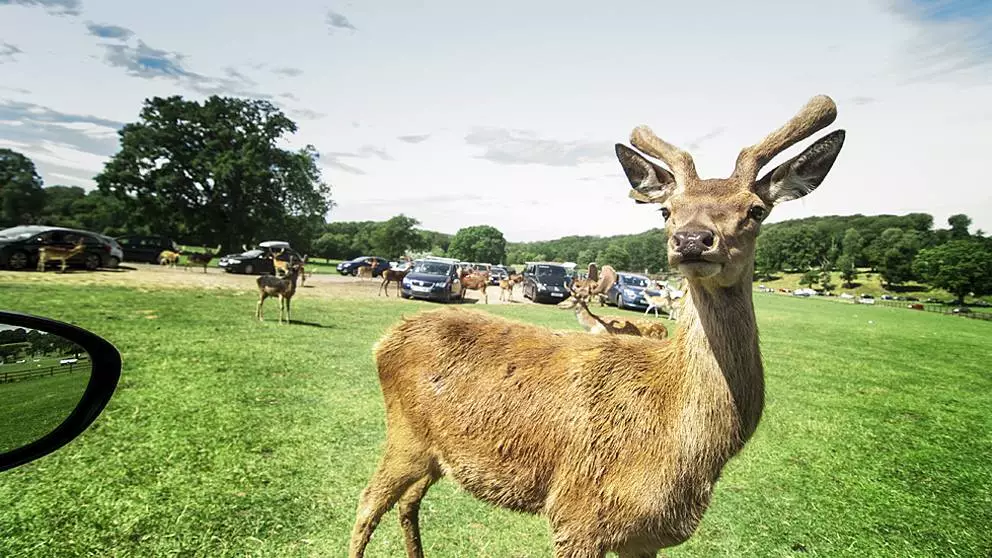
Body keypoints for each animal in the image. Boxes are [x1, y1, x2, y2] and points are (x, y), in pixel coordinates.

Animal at [348, 94, 844, 556]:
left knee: (408, 502)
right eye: (667, 210)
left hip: (434, 454)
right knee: (367, 502)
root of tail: (385, 339)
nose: (692, 240)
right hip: (405, 438)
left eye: (756, 209)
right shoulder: (575, 512)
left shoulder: (645, 539)